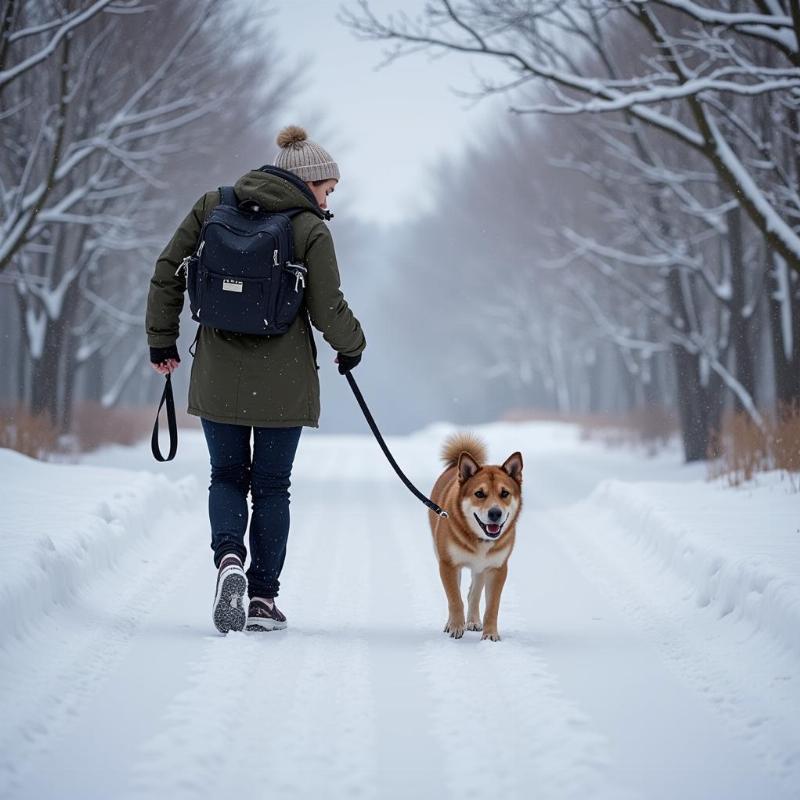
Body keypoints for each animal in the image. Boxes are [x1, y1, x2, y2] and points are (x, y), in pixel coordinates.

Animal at [428, 434, 520, 640]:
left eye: (504, 493)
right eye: (479, 493)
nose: (495, 513)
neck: (480, 539)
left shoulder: (497, 568)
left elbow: (492, 606)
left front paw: (490, 634)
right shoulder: (448, 564)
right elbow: (454, 599)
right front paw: (455, 627)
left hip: (480, 568)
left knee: (474, 594)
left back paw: (473, 621)